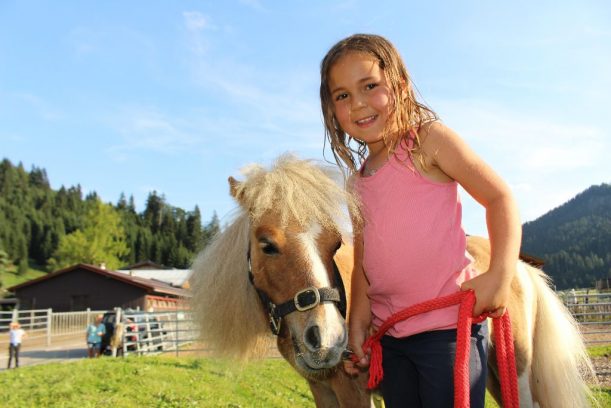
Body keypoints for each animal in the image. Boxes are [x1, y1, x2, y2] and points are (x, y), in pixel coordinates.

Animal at [190, 155, 592, 406]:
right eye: (267, 244)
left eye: (334, 243)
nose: (328, 339)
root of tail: (521, 268)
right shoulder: (322, 389)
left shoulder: (354, 390)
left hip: (515, 372)